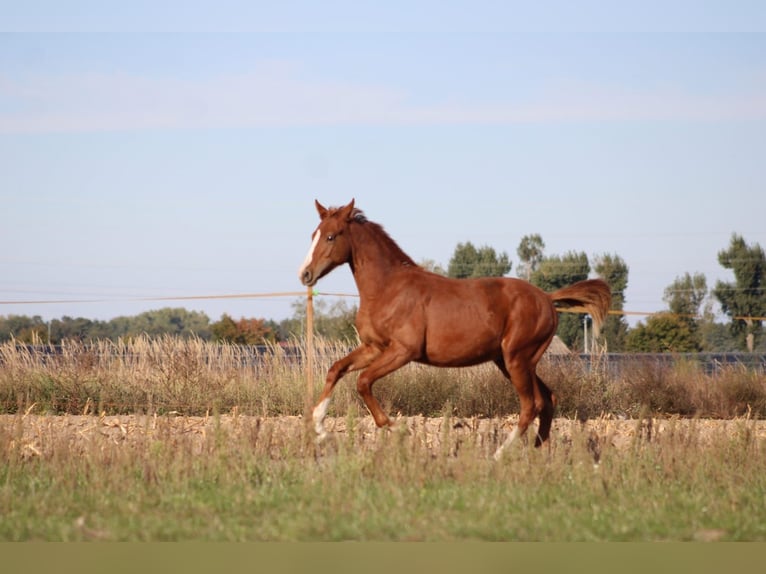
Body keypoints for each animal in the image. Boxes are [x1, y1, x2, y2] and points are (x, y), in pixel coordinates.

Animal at [300, 200, 612, 462]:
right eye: (313, 234)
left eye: (331, 236)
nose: (305, 274)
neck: (388, 289)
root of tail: (548, 299)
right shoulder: (373, 347)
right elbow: (336, 369)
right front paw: (319, 428)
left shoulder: (403, 351)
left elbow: (363, 381)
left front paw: (398, 429)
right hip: (513, 361)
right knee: (548, 400)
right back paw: (539, 455)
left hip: (518, 359)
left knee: (531, 405)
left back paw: (499, 455)